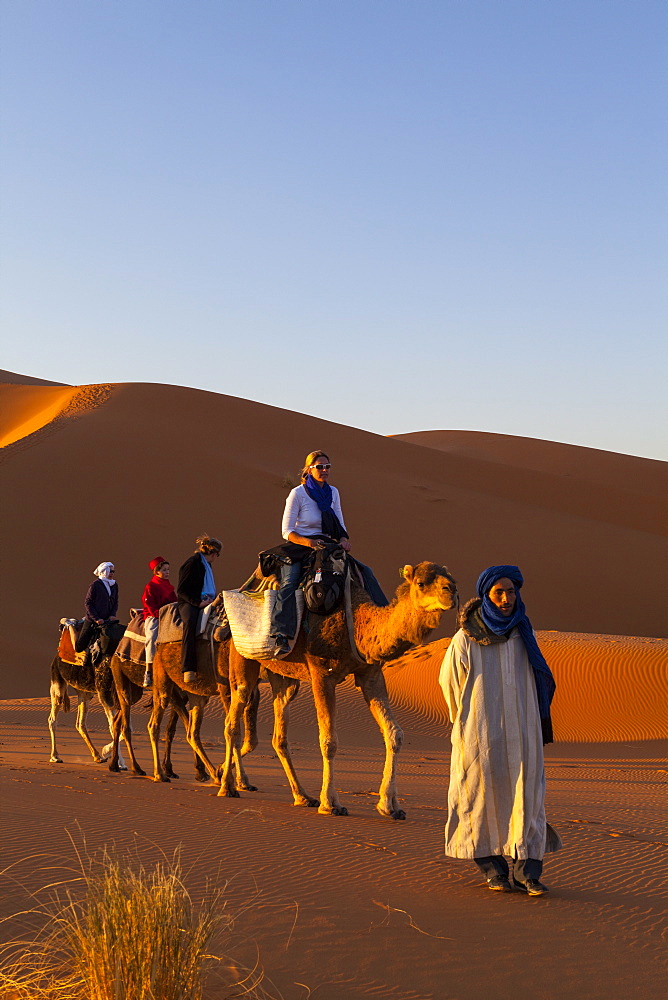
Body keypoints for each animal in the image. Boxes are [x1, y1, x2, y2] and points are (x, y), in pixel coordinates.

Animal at [222, 564, 456, 820]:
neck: (358, 623)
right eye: (421, 583)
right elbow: (329, 740)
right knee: (232, 722)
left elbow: (395, 733)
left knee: (279, 732)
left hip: (284, 678)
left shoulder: (371, 674)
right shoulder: (322, 674)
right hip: (242, 660)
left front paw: (390, 805)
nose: (451, 592)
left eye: (452, 579)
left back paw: (302, 796)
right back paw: (227, 786)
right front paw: (331, 803)